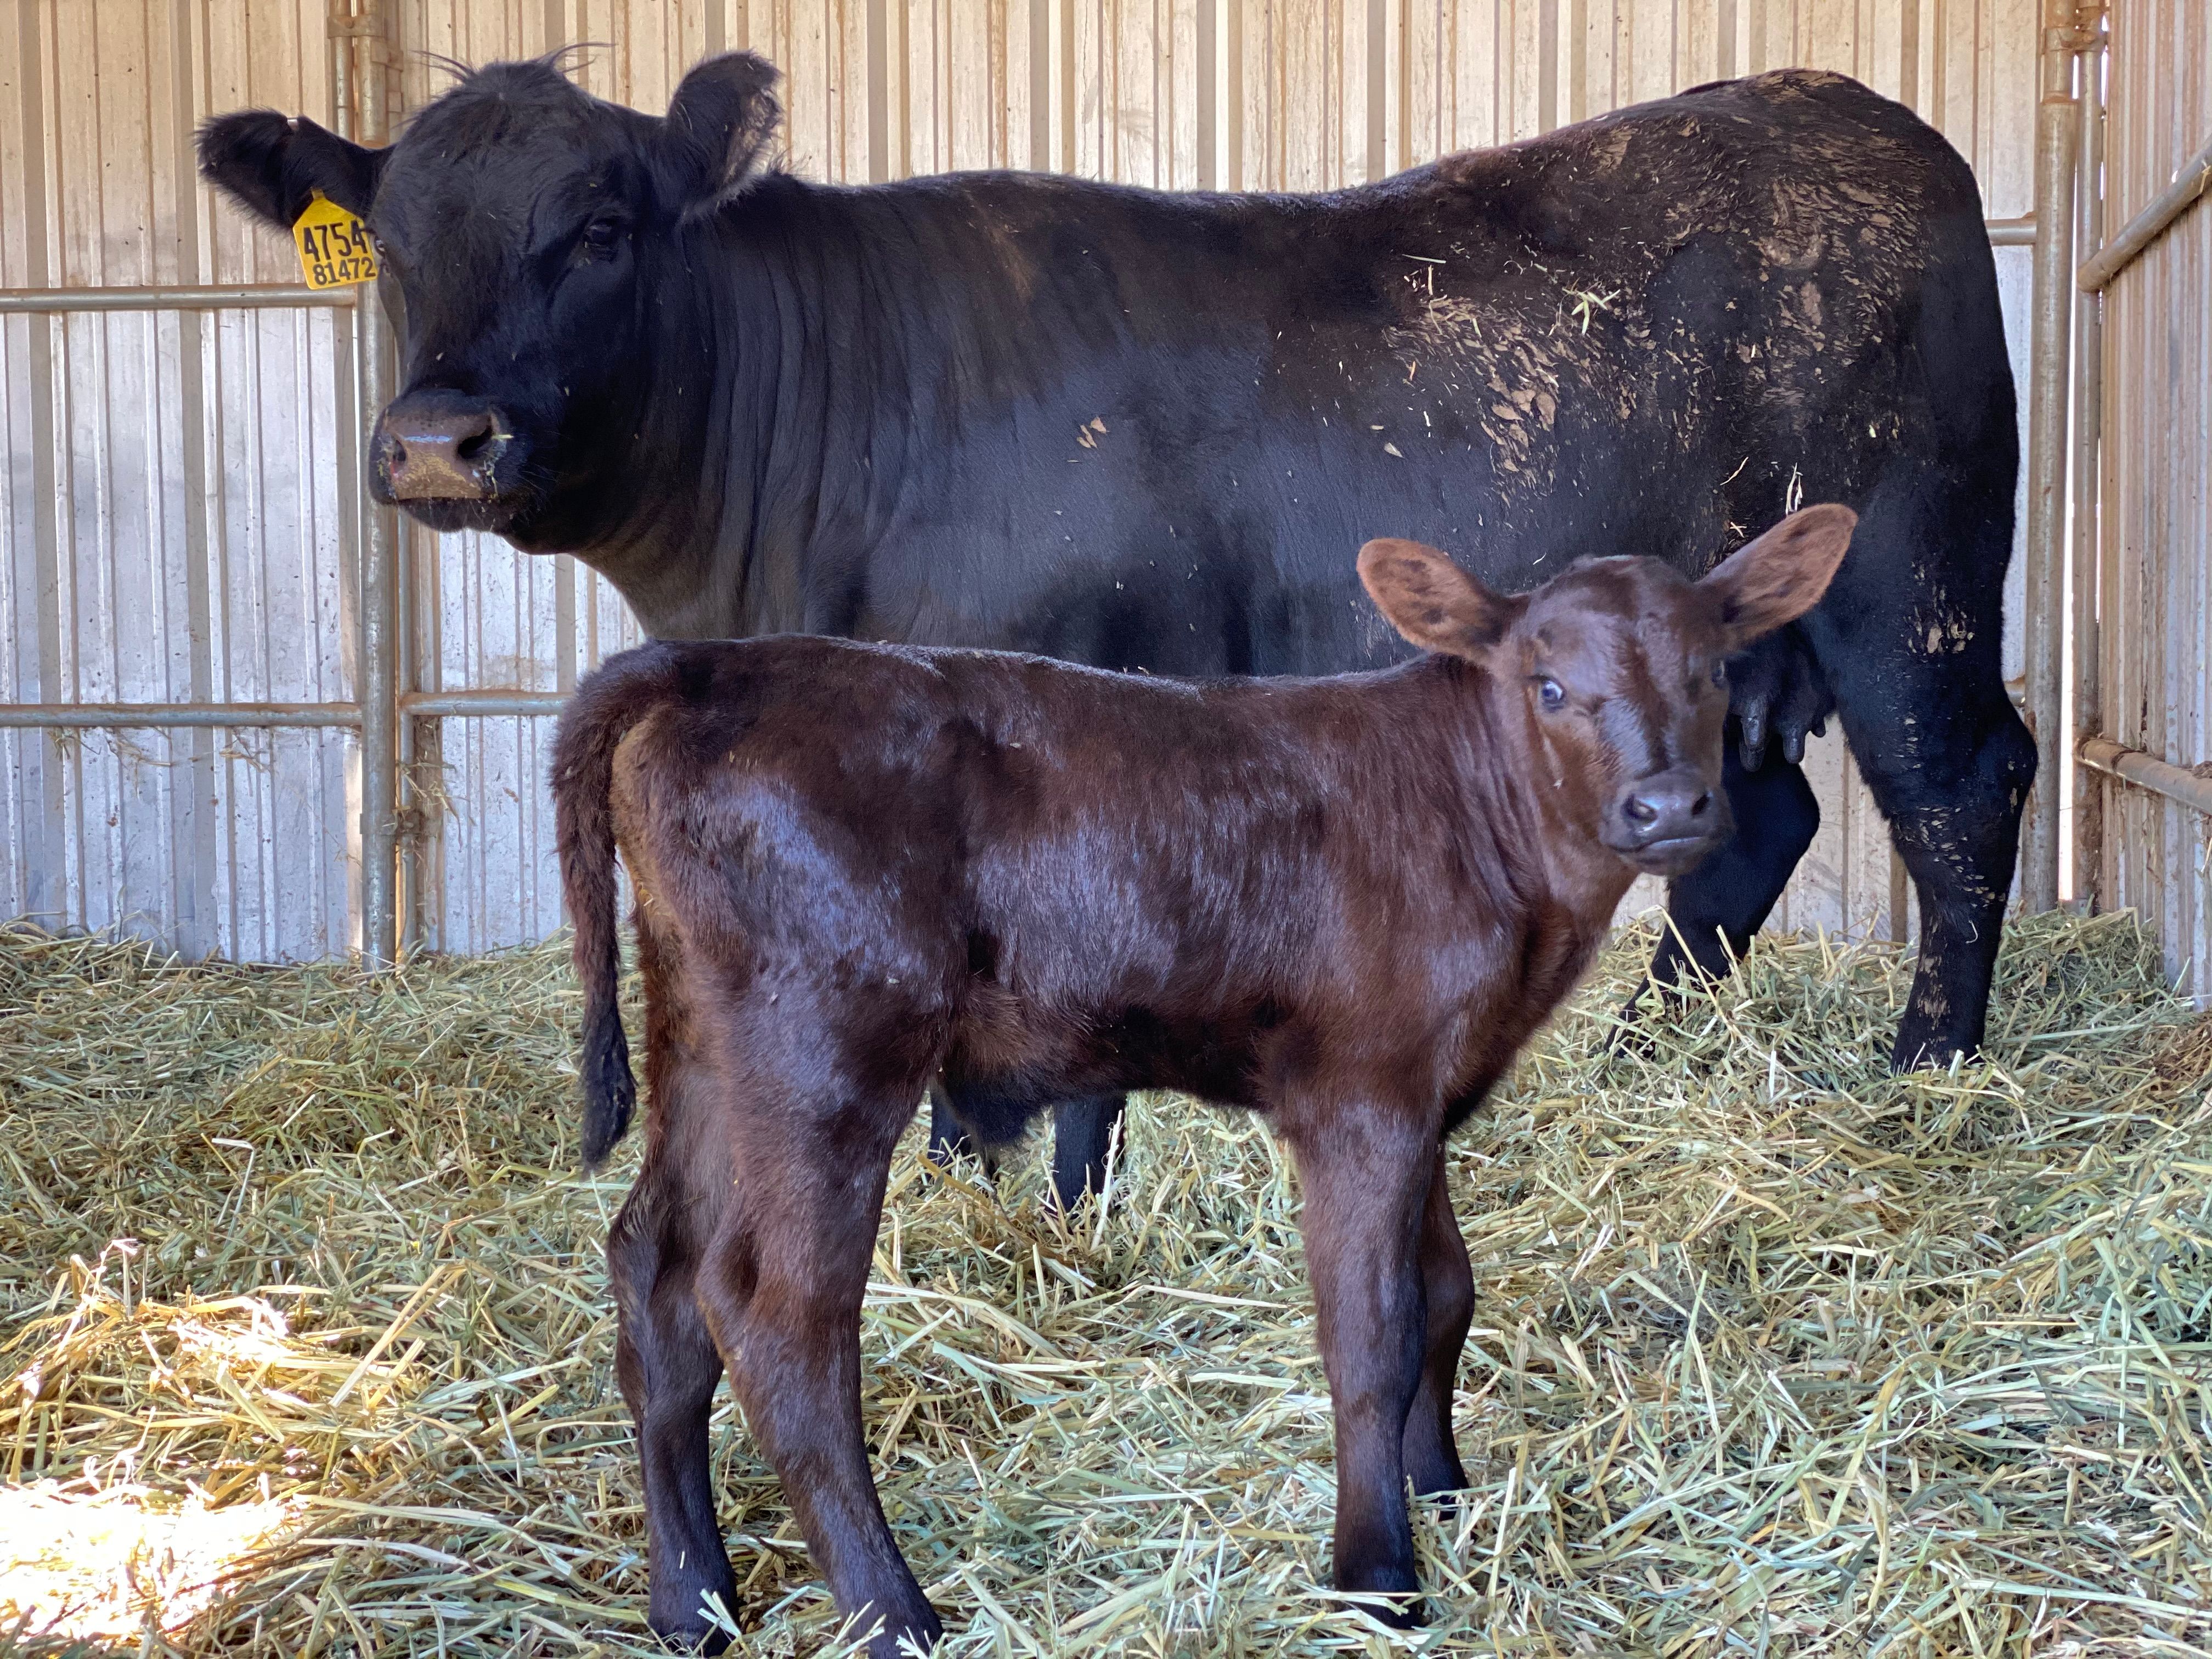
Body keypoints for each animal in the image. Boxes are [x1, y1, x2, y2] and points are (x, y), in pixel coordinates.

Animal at [203, 48, 2035, 1194]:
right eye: (388, 245)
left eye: (597, 226)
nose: (434, 441)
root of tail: (1853, 112)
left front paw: (1044, 1194)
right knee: (1758, 823)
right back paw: (1651, 1066)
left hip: (1912, 579)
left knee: (1963, 785)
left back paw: (1931, 1072)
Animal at [548, 511, 1849, 1659]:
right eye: (1548, 685)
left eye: (1711, 671)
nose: (1668, 805)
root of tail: (706, 662)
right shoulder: (1361, 1093)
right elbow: (1371, 1330)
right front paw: (1378, 1576)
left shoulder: (1427, 1090)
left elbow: (1447, 1292)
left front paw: (1442, 1490)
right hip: (824, 1049)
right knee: (781, 1320)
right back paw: (892, 1613)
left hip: (707, 1043)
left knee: (656, 1273)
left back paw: (692, 1604)